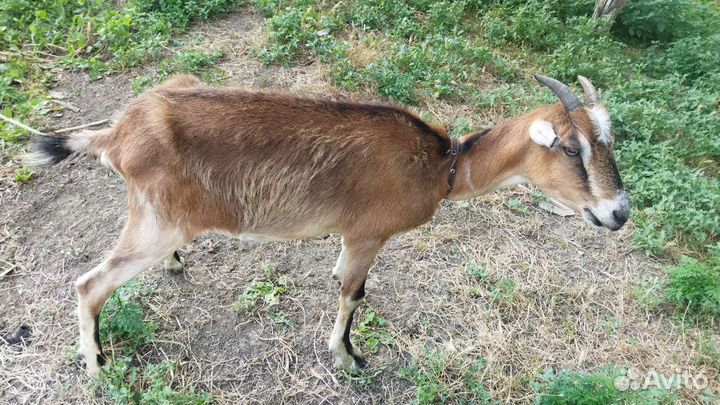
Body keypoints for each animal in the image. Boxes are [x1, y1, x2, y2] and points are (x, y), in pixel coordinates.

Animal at [26, 74, 629, 377]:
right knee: (90, 284)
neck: (443, 164)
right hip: (161, 221)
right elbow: (353, 292)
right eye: (571, 149)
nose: (619, 213)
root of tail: (116, 135)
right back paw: (98, 366)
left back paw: (175, 268)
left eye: (609, 142)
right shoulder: (366, 234)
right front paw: (350, 358)